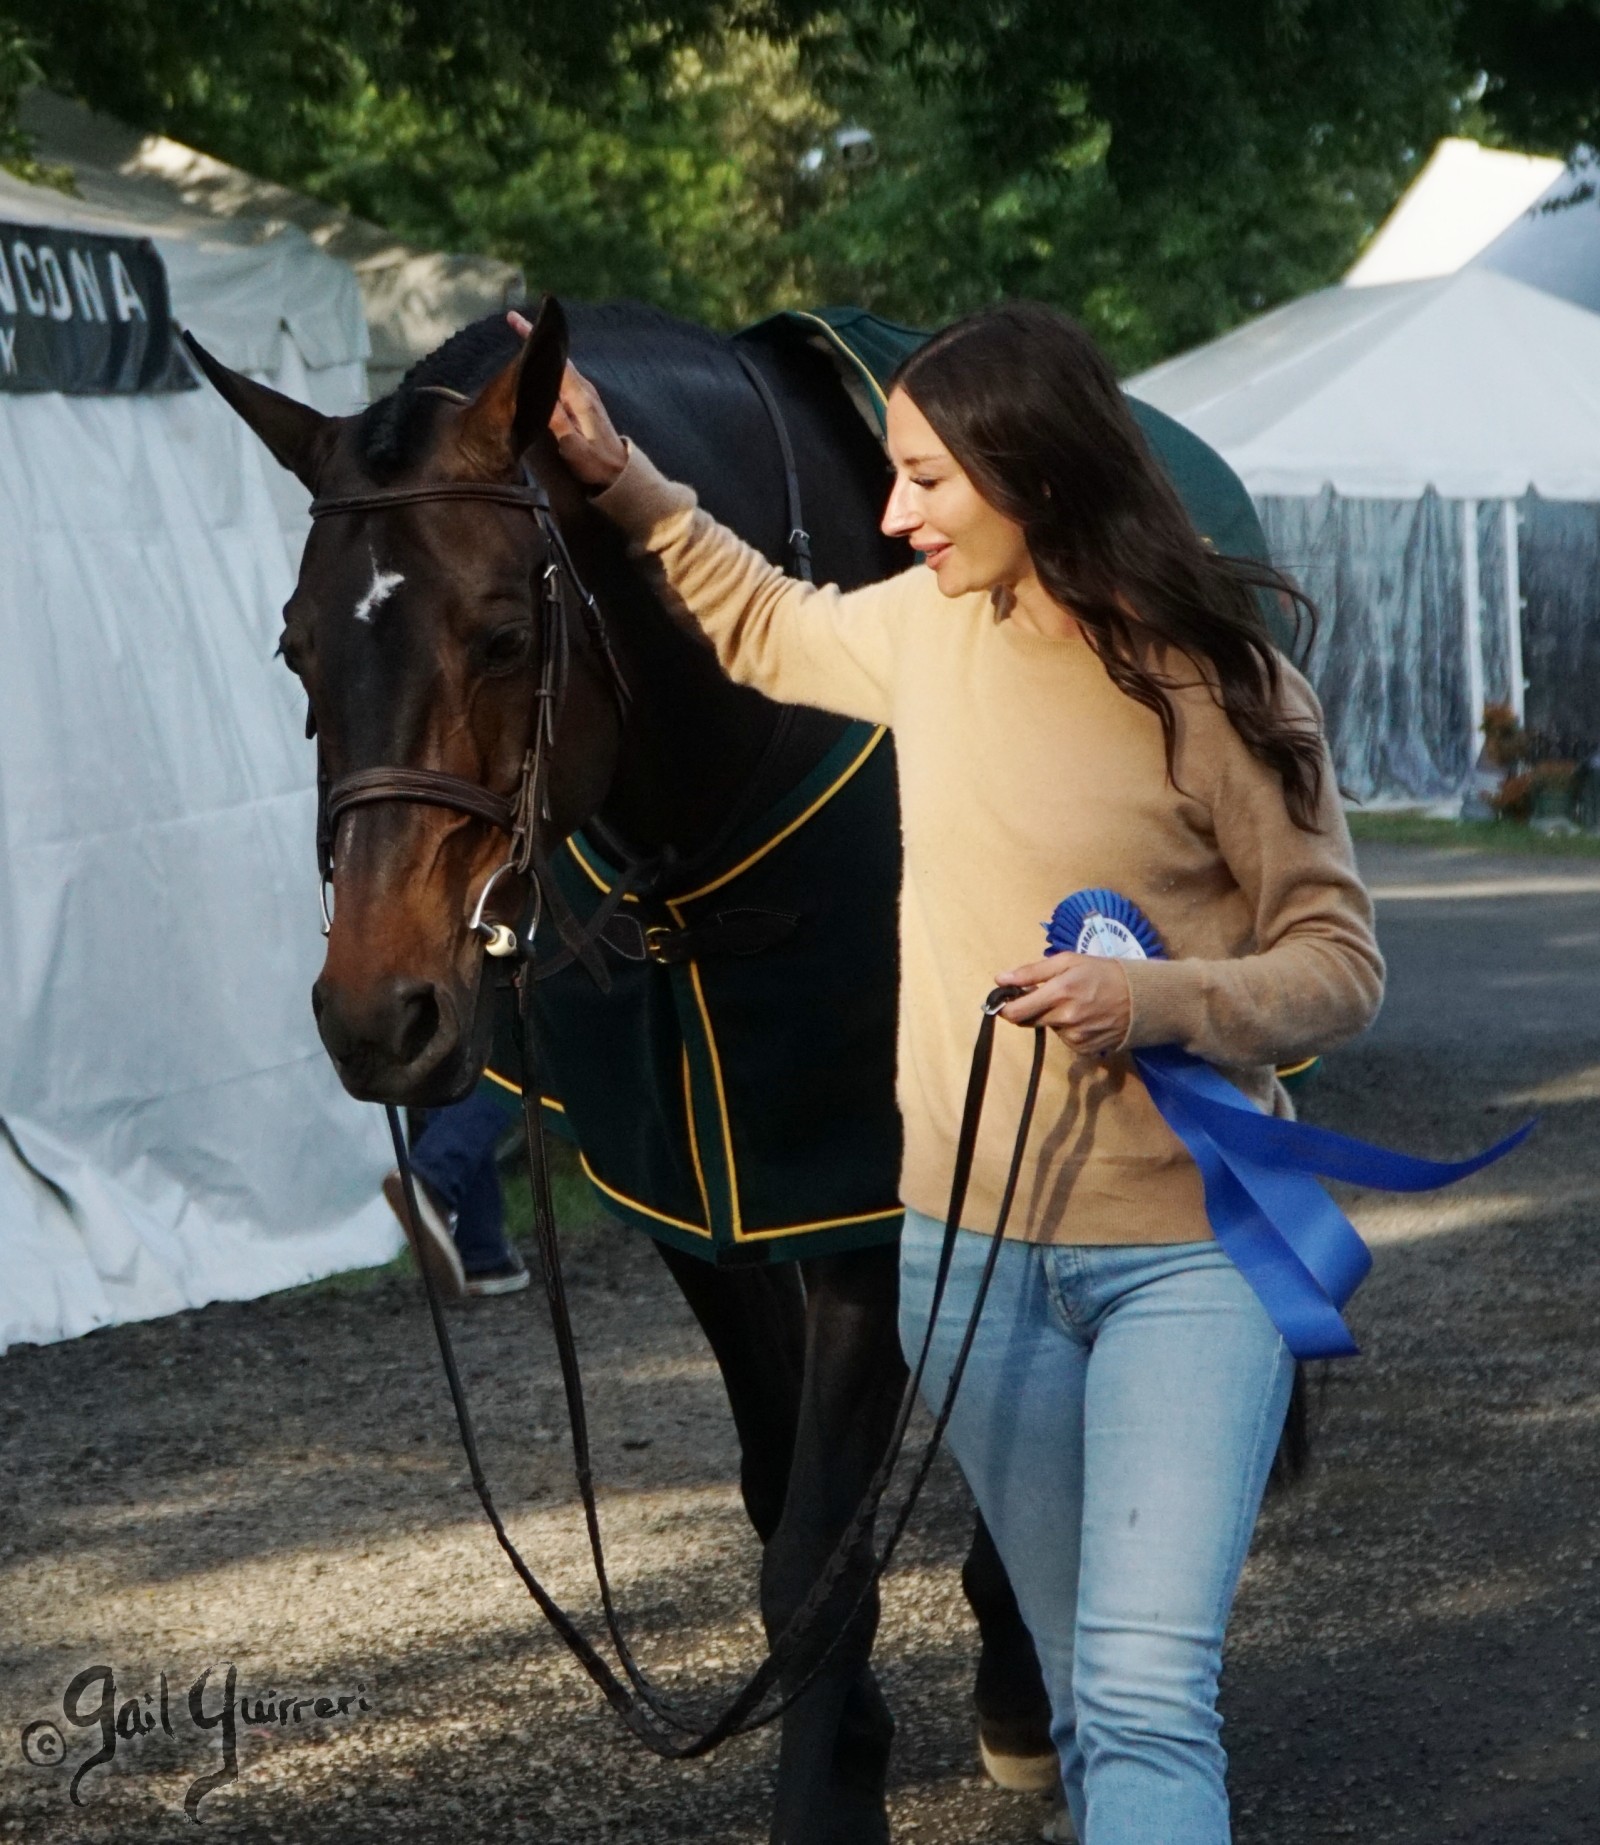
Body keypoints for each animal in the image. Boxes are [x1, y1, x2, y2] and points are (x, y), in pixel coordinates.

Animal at [187, 298, 1055, 1845]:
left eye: (502, 630)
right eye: (294, 649)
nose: (377, 1011)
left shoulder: (857, 1184)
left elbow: (815, 1551)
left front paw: (826, 1790)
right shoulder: (699, 1188)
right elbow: (781, 1498)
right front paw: (851, 1741)